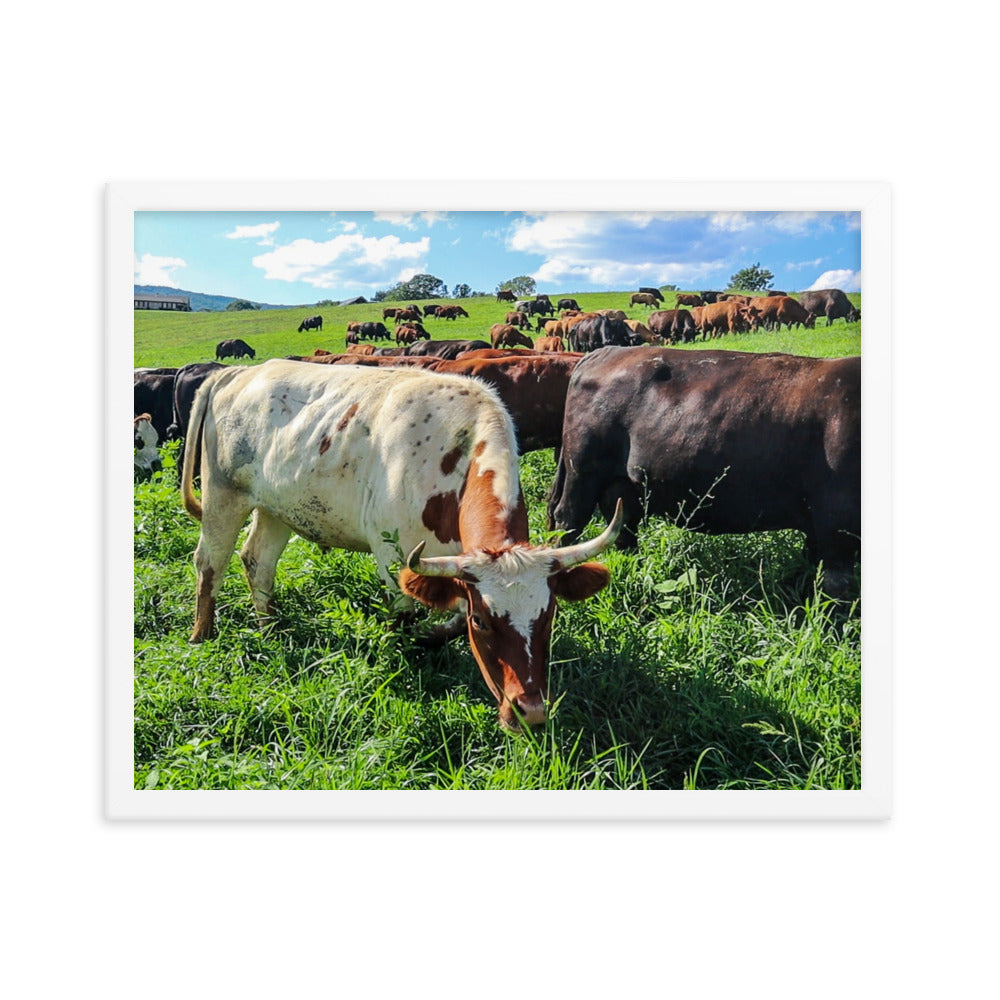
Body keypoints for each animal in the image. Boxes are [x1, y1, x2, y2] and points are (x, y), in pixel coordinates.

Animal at [181, 360, 621, 730]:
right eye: (484, 622)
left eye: (549, 615)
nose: (529, 712)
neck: (455, 456)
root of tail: (237, 372)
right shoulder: (394, 558)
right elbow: (406, 620)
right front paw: (408, 658)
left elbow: (450, 620)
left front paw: (433, 637)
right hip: (223, 496)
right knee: (210, 564)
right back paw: (202, 636)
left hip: (276, 508)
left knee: (258, 561)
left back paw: (270, 627)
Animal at [547, 346, 861, 597]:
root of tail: (602, 352)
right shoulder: (837, 523)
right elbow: (837, 589)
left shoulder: (821, 529)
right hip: (582, 473)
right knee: (568, 521)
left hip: (622, 486)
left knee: (624, 528)